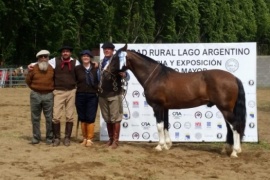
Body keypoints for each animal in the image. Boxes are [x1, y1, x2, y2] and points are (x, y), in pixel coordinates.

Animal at [104, 44, 247, 157]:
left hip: (225, 109)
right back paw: (227, 149)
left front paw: (159, 146)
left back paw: (235, 151)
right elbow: (166, 125)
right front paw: (168, 145)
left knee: (235, 125)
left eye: (115, 58)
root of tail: (234, 78)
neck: (155, 77)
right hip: (225, 109)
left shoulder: (157, 107)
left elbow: (159, 126)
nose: (105, 71)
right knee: (230, 127)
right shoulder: (165, 108)